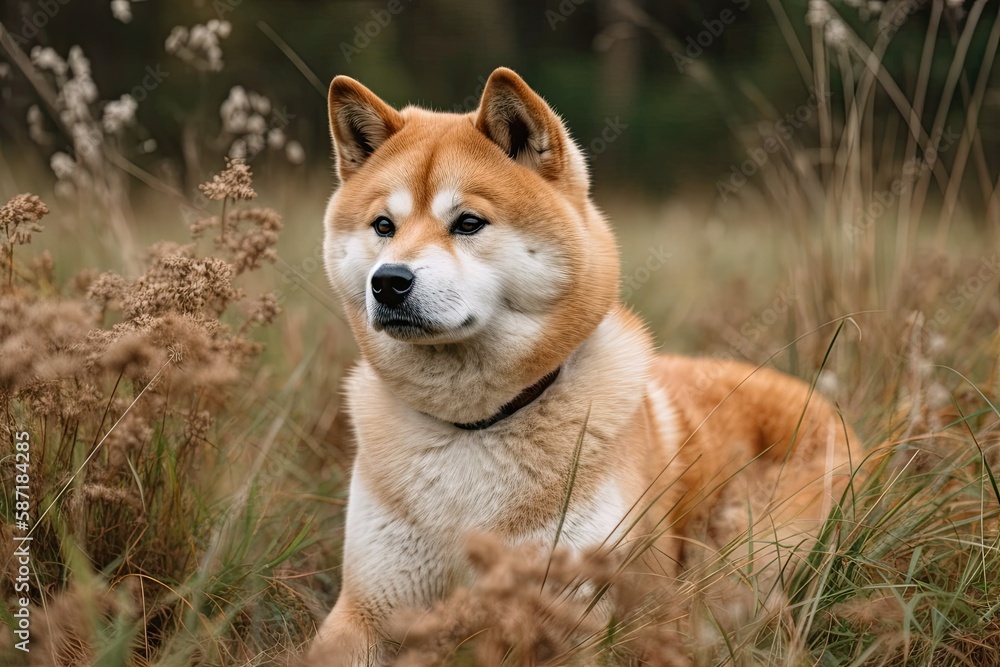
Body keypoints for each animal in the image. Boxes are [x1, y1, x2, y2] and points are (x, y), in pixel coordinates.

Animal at [312, 66, 860, 664]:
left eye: (469, 223)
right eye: (383, 226)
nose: (388, 282)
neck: (472, 427)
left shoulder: (572, 612)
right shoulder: (366, 609)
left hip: (748, 554)